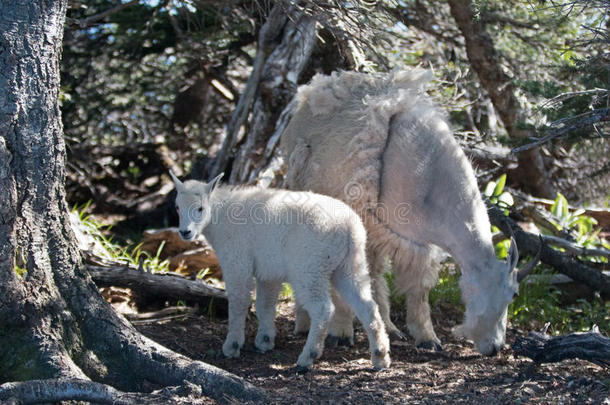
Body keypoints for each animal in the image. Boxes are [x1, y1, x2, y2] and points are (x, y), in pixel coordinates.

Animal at [169, 170, 392, 370]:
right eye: (177, 207)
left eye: (200, 208)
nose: (185, 232)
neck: (219, 217)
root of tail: (349, 228)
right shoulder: (268, 272)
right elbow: (265, 304)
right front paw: (265, 341)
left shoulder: (237, 262)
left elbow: (239, 302)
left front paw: (232, 345)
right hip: (349, 264)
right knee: (367, 306)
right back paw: (380, 356)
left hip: (310, 267)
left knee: (323, 308)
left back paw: (308, 357)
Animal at [278, 68, 536, 354]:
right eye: (513, 294)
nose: (496, 347)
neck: (432, 181)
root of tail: (308, 96)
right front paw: (341, 332)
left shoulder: (413, 241)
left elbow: (418, 289)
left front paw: (428, 338)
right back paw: (304, 322)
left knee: (375, 275)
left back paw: (389, 327)